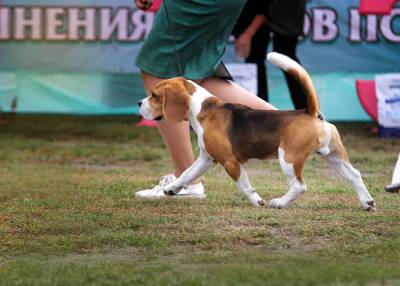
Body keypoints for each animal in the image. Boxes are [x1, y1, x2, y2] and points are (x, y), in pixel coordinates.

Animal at [138, 52, 376, 211]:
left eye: (154, 95)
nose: (139, 102)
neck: (202, 107)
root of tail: (310, 112)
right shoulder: (207, 158)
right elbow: (188, 173)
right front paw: (172, 189)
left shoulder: (230, 162)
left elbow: (244, 186)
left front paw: (257, 201)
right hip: (334, 157)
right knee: (355, 175)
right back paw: (367, 202)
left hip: (288, 157)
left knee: (300, 186)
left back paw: (278, 203)